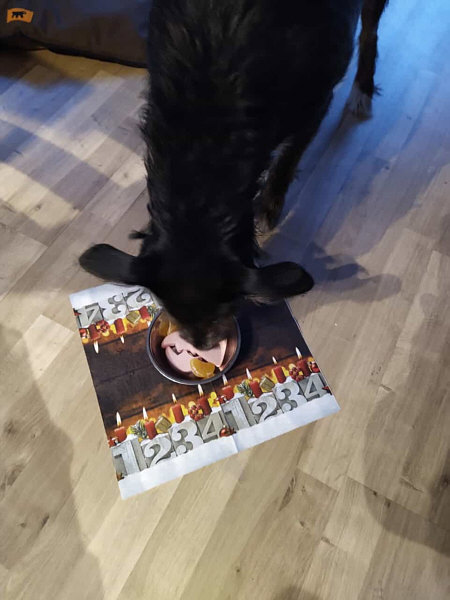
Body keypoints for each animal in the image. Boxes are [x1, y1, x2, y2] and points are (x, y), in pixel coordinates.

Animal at [80, 0, 388, 349]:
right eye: (166, 309)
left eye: (226, 310)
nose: (200, 347)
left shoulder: (315, 104)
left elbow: (288, 158)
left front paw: (269, 205)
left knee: (370, 32)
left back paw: (362, 89)